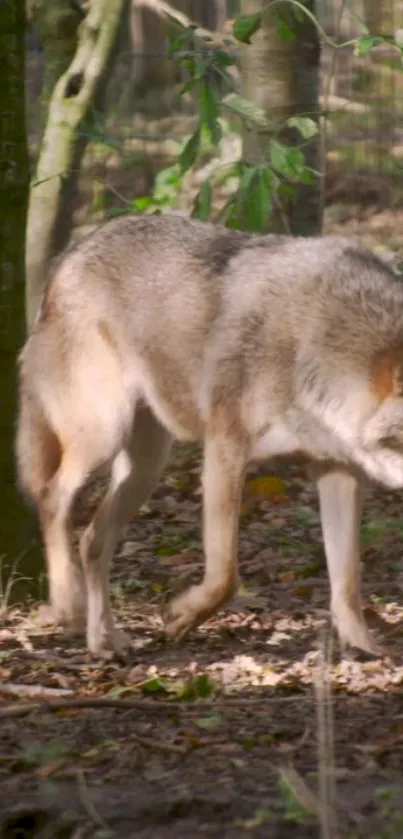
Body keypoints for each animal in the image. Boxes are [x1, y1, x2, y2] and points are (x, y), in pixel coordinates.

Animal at [15, 213, 403, 660]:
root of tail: (68, 256)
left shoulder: (337, 470)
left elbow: (347, 581)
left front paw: (367, 649)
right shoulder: (224, 449)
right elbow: (225, 575)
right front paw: (181, 615)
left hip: (145, 468)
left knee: (92, 539)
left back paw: (104, 641)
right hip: (102, 436)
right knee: (51, 497)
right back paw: (68, 604)